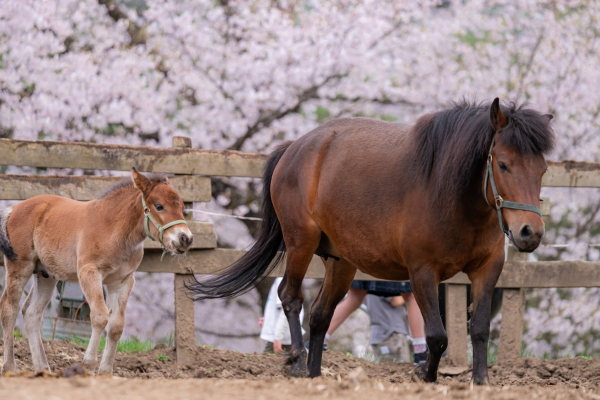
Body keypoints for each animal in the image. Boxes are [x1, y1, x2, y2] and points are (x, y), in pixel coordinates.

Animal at [0, 169, 192, 376]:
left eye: (183, 207)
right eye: (159, 206)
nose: (186, 239)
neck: (114, 227)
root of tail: (15, 207)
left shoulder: (123, 281)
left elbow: (116, 325)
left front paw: (106, 371)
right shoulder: (89, 273)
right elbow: (100, 317)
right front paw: (89, 365)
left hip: (46, 274)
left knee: (31, 312)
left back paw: (43, 368)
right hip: (20, 266)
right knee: (9, 308)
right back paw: (10, 367)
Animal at [190, 98, 556, 386]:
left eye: (542, 170)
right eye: (503, 164)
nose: (530, 231)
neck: (450, 193)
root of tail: (294, 148)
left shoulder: (488, 268)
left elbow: (478, 328)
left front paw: (481, 381)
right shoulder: (422, 272)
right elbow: (438, 336)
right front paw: (426, 376)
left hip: (341, 263)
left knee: (321, 314)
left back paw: (315, 373)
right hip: (300, 243)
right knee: (290, 297)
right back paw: (297, 361)